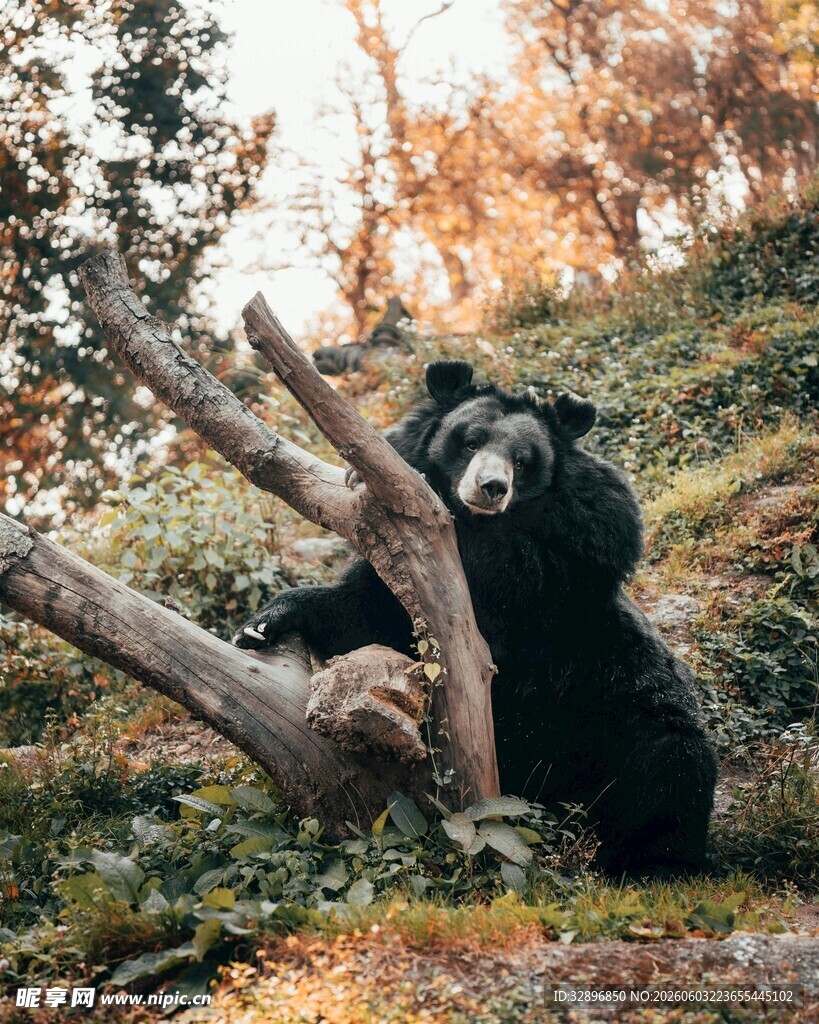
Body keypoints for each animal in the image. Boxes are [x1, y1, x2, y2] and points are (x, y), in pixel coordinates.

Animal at [234, 360, 718, 878]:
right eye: (469, 442)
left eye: (522, 460)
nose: (491, 488)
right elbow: (364, 612)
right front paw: (258, 627)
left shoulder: (574, 557)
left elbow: (518, 570)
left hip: (619, 702)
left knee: (667, 767)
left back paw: (649, 863)